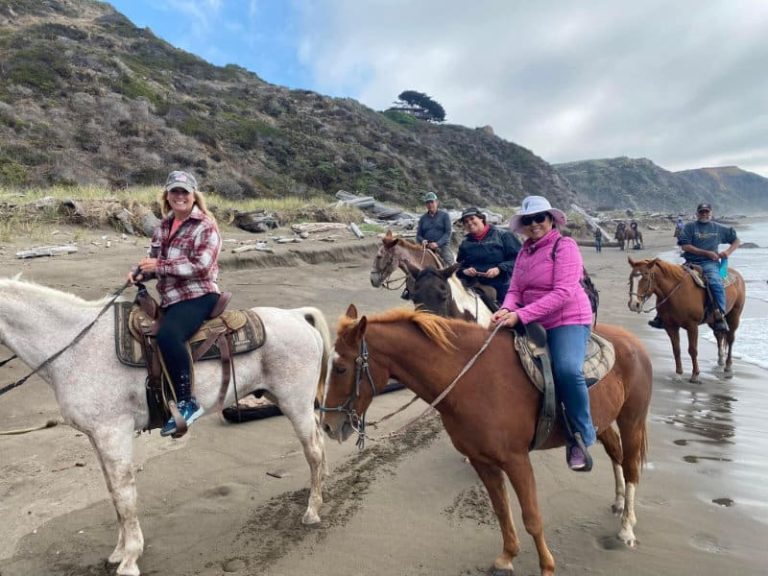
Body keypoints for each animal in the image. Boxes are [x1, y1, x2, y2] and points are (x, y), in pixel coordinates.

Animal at [0, 276, 330, 572]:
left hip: (294, 403)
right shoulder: (98, 437)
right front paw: (119, 552)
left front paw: (130, 558)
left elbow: (124, 495)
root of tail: (296, 314)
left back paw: (312, 510)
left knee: (313, 451)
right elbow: (113, 493)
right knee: (319, 440)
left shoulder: (113, 433)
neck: (77, 349)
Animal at [320, 306, 652, 576]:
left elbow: (532, 517)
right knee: (616, 454)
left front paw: (546, 566)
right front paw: (507, 557)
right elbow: (501, 509)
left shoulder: (517, 460)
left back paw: (627, 528)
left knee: (631, 467)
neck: (472, 380)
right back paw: (619, 501)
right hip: (601, 421)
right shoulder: (482, 461)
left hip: (632, 420)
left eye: (341, 368)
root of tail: (633, 342)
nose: (327, 425)